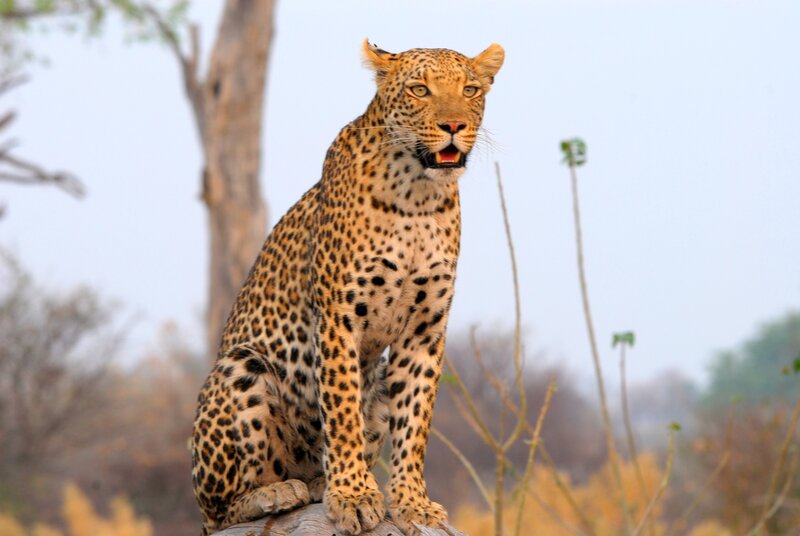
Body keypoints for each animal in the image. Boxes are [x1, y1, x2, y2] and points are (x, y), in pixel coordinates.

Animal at [191, 39, 504, 536]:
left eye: (470, 90)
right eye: (420, 89)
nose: (453, 126)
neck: (417, 197)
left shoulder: (425, 330)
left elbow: (415, 422)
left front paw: (412, 502)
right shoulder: (339, 317)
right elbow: (341, 411)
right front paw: (354, 496)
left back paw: (318, 483)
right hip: (242, 367)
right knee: (220, 511)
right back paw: (278, 492)